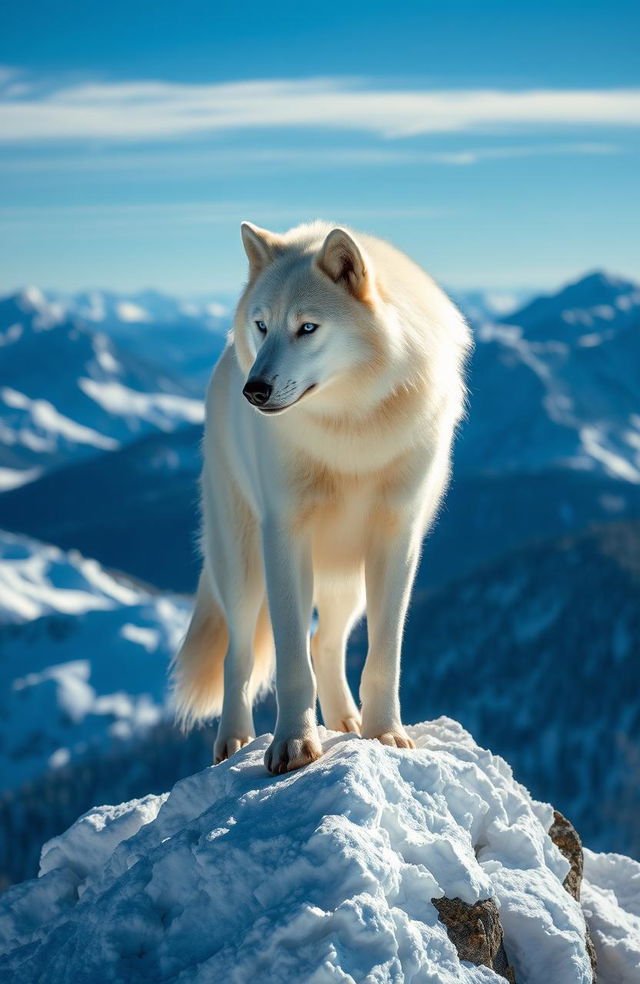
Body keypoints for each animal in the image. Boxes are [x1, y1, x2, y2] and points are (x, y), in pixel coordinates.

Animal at [174, 223, 470, 776]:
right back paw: (235, 743)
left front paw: (385, 734)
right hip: (243, 567)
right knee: (239, 655)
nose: (254, 390)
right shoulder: (285, 536)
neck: (351, 426)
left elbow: (382, 658)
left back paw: (346, 722)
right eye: (263, 326)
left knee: (325, 644)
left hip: (345, 580)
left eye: (307, 327)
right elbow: (291, 660)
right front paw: (293, 746)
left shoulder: (397, 540)